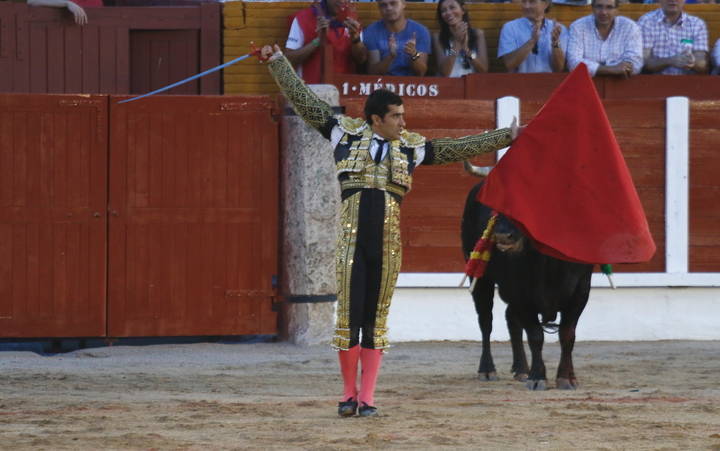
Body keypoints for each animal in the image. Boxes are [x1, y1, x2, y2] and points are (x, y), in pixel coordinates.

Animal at [464, 182, 592, 390]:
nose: (502, 236)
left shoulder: (580, 292)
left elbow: (567, 335)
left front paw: (565, 378)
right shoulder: (521, 294)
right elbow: (535, 336)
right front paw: (538, 377)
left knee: (510, 318)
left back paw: (522, 369)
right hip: (480, 278)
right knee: (486, 321)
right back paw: (488, 370)